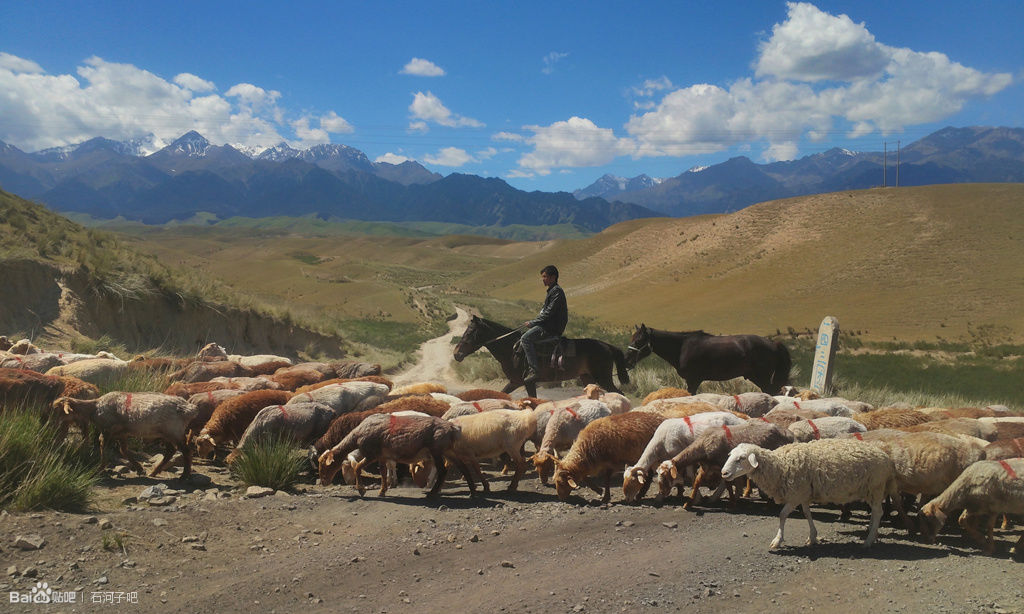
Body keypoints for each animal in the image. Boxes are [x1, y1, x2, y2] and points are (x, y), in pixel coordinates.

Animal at [54, 392, 199, 478]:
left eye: (58, 409)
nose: (53, 423)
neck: (94, 408)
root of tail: (189, 409)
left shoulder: (107, 430)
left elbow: (102, 445)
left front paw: (100, 469)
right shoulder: (121, 433)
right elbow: (123, 450)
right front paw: (139, 469)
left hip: (174, 431)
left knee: (186, 450)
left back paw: (184, 476)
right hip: (166, 433)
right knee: (171, 451)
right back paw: (154, 472)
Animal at [452, 317, 626, 399]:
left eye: (469, 332)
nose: (456, 354)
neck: (512, 350)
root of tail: (607, 345)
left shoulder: (528, 382)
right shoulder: (515, 382)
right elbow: (501, 393)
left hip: (603, 377)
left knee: (619, 393)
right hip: (587, 377)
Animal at [618, 409, 749, 501]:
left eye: (632, 481)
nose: (627, 499)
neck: (659, 444)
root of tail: (741, 420)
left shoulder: (680, 455)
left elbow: (689, 476)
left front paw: (696, 498)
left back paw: (715, 497)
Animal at [622, 323, 790, 395]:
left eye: (639, 341)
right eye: (632, 338)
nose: (627, 360)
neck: (682, 347)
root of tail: (773, 343)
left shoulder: (693, 380)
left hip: (763, 378)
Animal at [720, 437, 897, 548]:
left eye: (741, 458)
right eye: (730, 455)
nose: (724, 473)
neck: (779, 466)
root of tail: (886, 457)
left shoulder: (795, 495)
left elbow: (782, 515)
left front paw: (777, 540)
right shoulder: (803, 494)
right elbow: (807, 513)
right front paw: (812, 537)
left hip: (875, 487)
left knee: (878, 512)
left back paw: (868, 540)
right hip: (871, 490)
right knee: (875, 512)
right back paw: (873, 535)